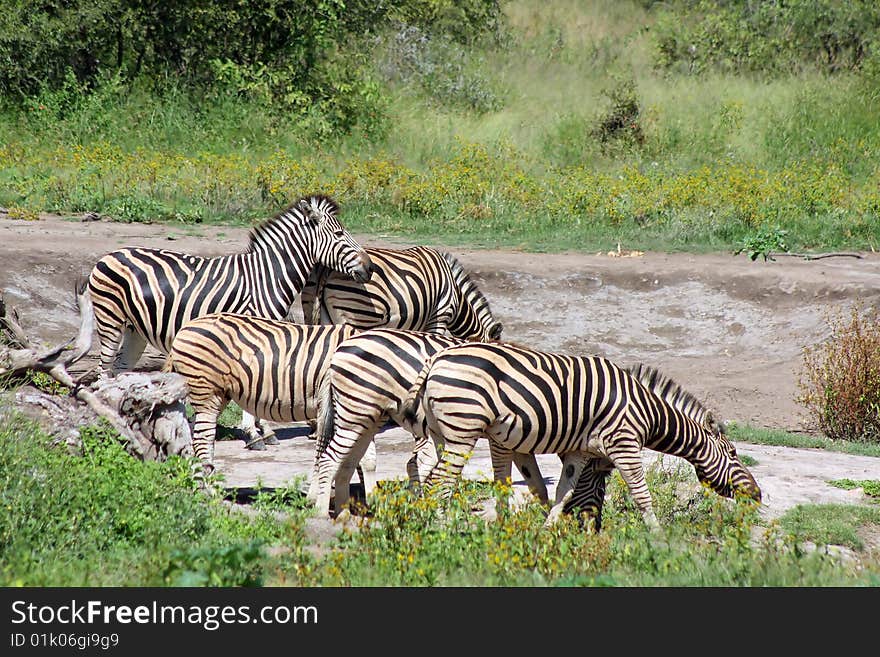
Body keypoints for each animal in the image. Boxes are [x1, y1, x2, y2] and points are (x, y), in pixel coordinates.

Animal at [84, 193, 370, 452]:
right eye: (339, 234)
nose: (368, 269)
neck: (267, 277)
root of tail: (109, 255)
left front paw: (264, 430)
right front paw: (255, 434)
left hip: (135, 331)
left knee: (121, 370)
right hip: (110, 319)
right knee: (103, 369)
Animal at [306, 328, 548, 516]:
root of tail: (337, 352)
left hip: (365, 416)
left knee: (345, 458)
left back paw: (342, 510)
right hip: (358, 410)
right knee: (333, 457)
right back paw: (323, 512)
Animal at [402, 340, 760, 532]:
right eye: (733, 455)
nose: (757, 496)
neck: (646, 410)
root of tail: (435, 358)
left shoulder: (581, 450)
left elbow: (564, 492)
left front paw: (547, 530)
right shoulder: (624, 443)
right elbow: (641, 494)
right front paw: (659, 538)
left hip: (442, 431)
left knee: (430, 477)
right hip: (463, 429)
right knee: (440, 483)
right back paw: (440, 529)